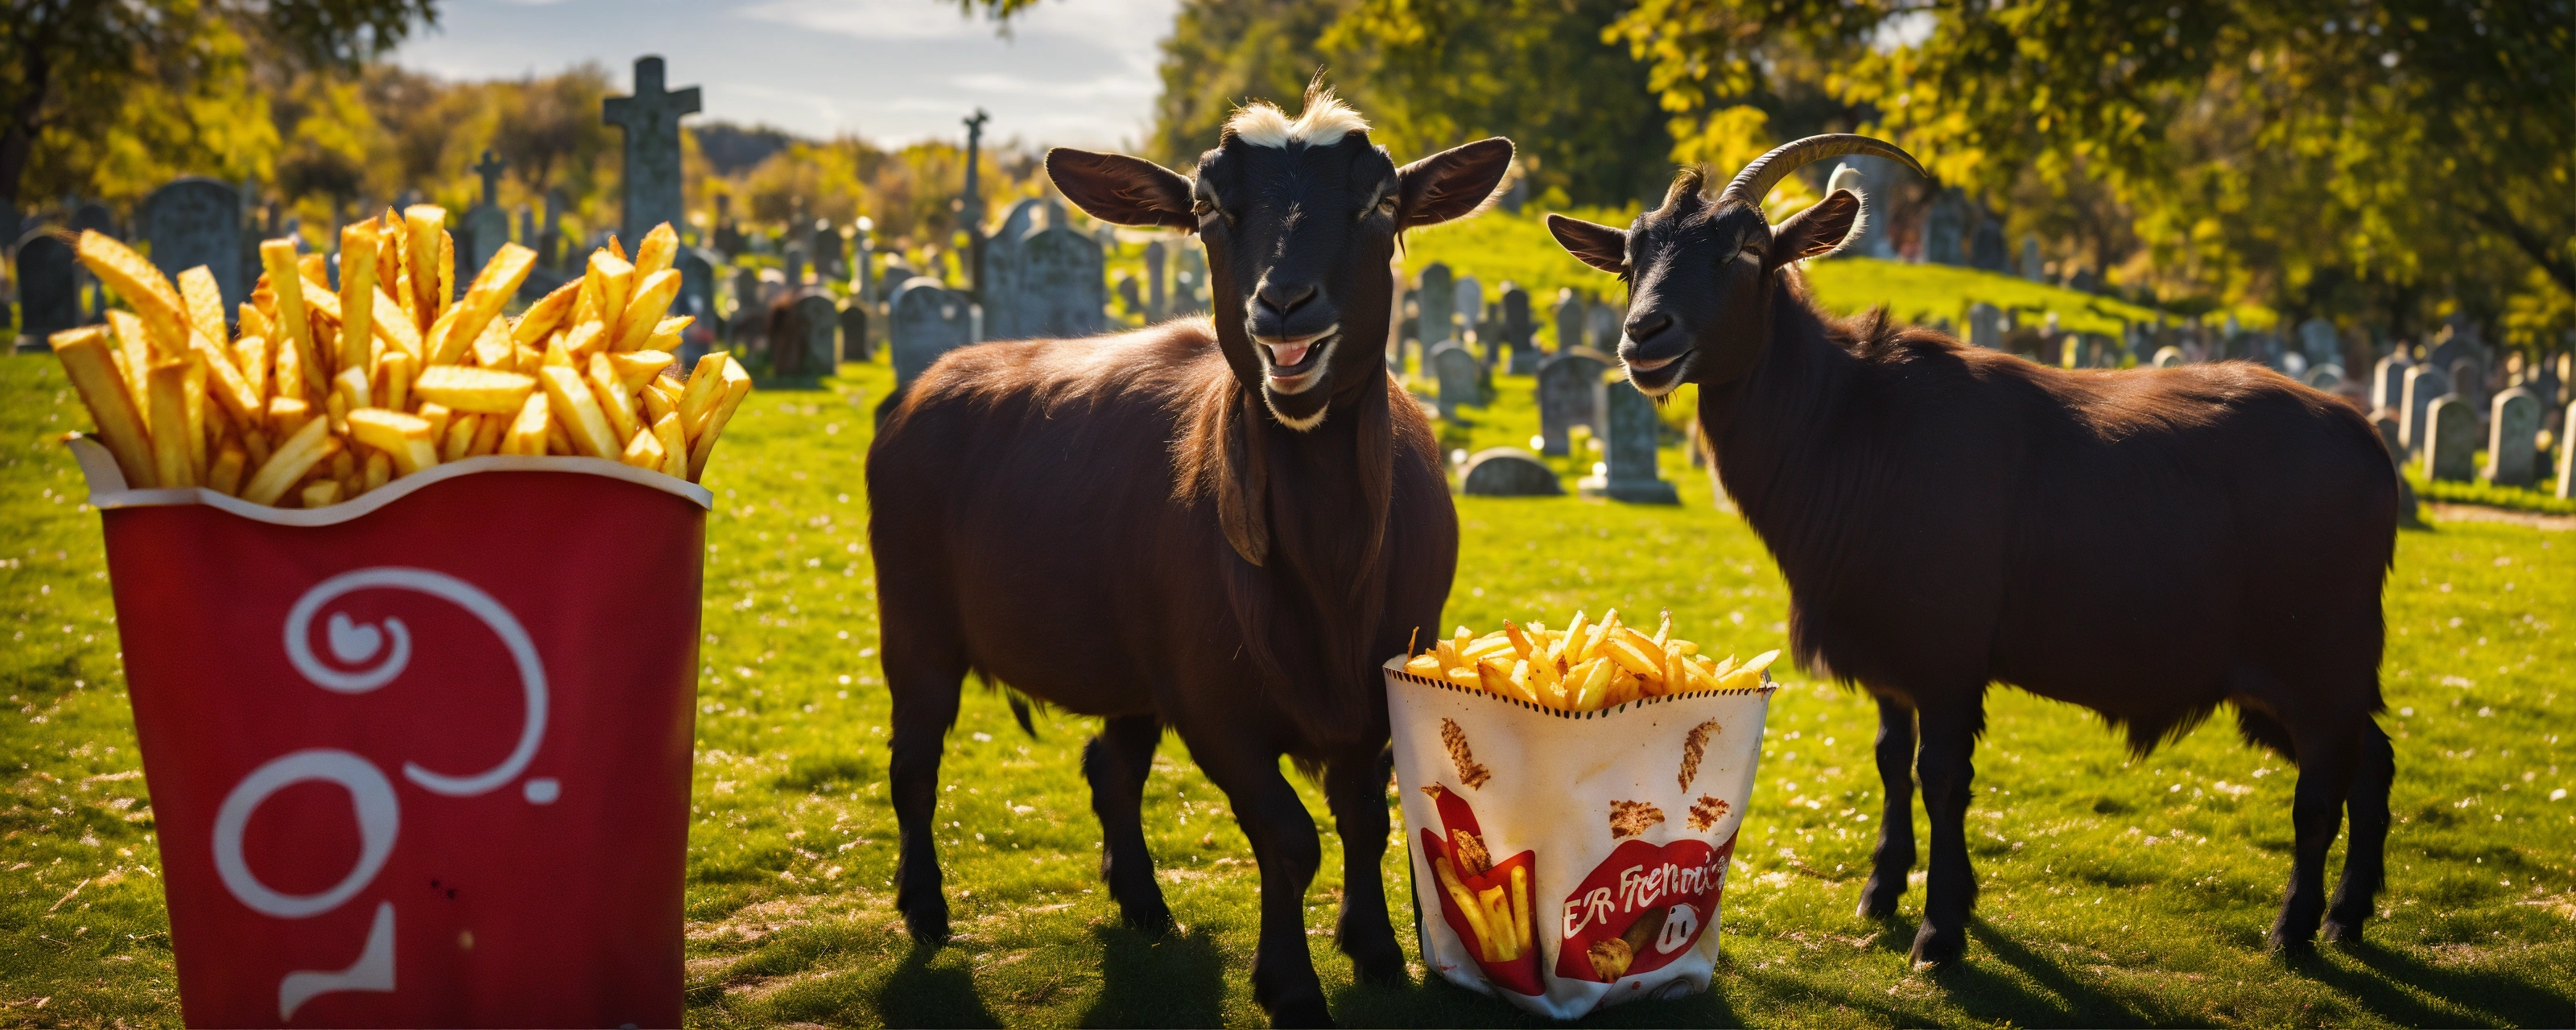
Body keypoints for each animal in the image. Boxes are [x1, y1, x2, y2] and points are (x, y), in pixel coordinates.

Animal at [867, 88, 1511, 1024]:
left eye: (1381, 203)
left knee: (1110, 768)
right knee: (914, 763)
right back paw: (924, 907)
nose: (1284, 304)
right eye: (1206, 208)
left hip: (1128, 657)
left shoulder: (1377, 681)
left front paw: (1375, 948)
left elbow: (1363, 816)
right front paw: (1289, 984)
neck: (1330, 569)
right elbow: (1288, 837)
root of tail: (931, 379)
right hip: (915, 624)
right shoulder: (1214, 704)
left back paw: (1142, 902)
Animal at [1547, 136, 2400, 966]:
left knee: (2324, 786)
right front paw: (1882, 891)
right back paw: (2346, 917)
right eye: (1629, 259)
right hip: (2295, 680)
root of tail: (2370, 444)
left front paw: (1941, 930)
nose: (1644, 335)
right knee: (2374, 760)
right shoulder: (1888, 657)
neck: (1852, 429)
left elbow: (1942, 779)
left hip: (2317, 657)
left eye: (1748, 250)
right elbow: (1892, 761)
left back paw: (2294, 927)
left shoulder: (1949, 657)